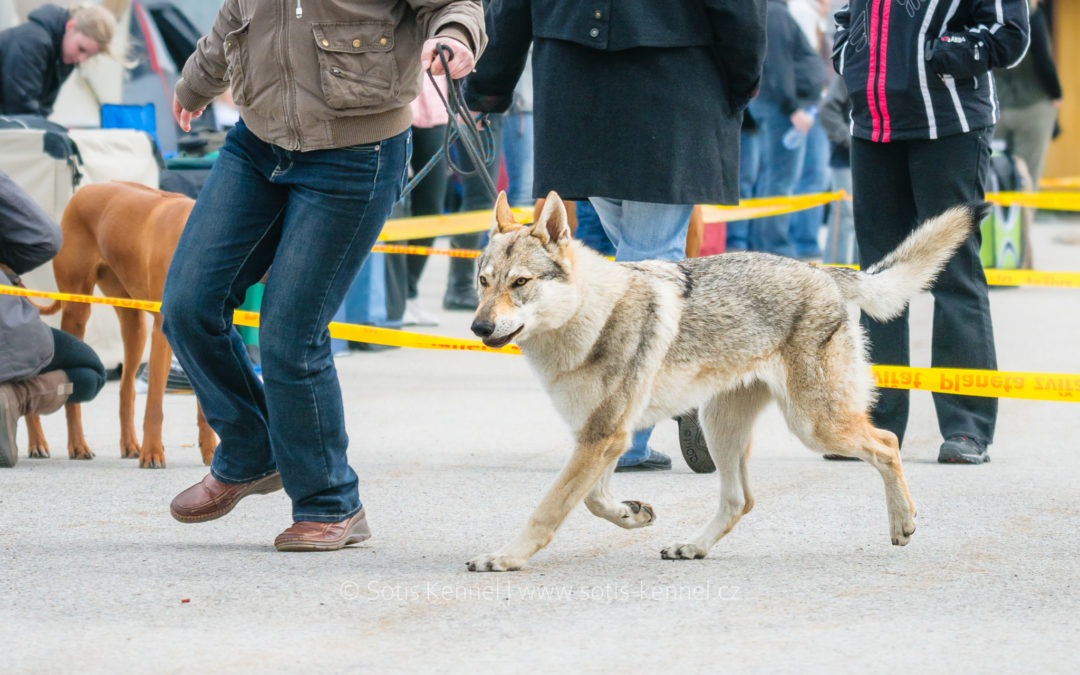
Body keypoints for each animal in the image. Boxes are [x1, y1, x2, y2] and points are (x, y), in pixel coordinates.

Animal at [30, 182, 217, 468]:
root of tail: (84, 190)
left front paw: (210, 451)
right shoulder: (164, 333)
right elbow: (154, 404)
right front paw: (153, 452)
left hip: (133, 323)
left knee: (126, 388)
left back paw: (129, 444)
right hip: (77, 310)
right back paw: (69, 444)